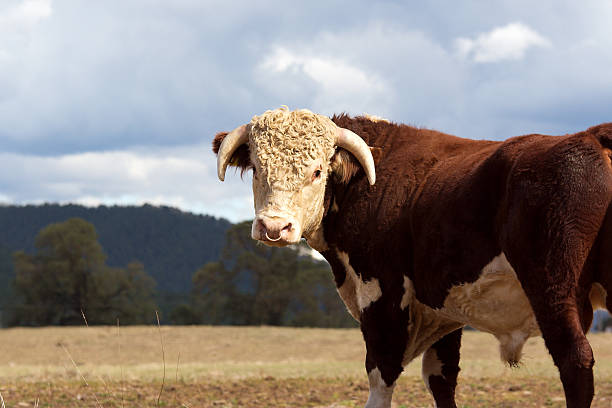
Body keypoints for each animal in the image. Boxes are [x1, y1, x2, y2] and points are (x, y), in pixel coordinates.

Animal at [212, 107, 612, 408]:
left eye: (317, 171)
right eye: (257, 170)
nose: (274, 227)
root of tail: (591, 136)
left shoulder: (382, 295)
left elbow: (381, 374)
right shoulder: (442, 310)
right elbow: (440, 379)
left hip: (553, 289)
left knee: (575, 361)